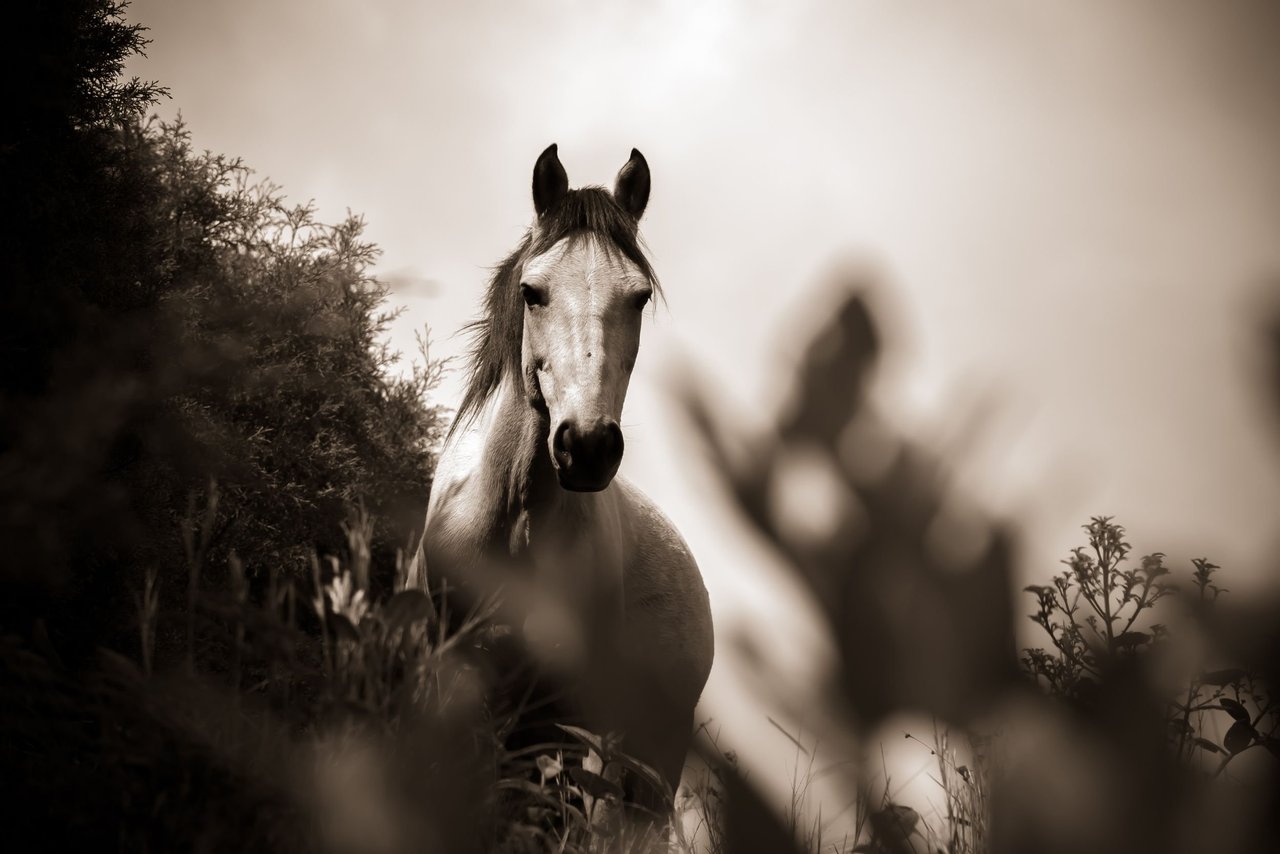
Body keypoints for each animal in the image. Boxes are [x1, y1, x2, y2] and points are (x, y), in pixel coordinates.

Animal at [424, 143, 716, 814]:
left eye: (638, 298)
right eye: (533, 292)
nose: (587, 447)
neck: (513, 518)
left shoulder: (558, 714)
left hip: (646, 757)